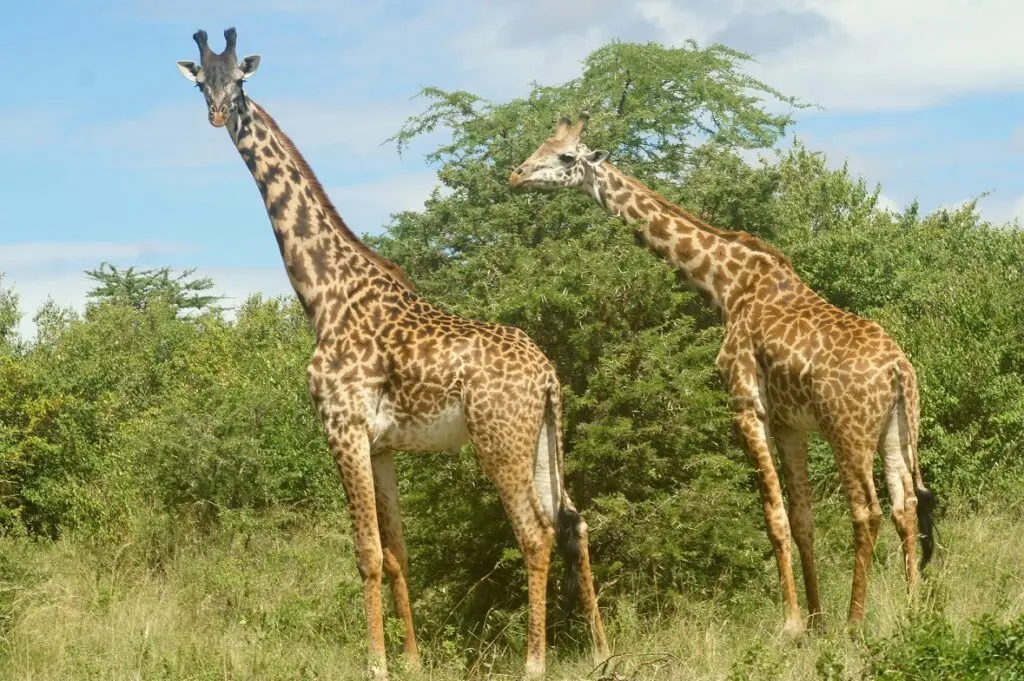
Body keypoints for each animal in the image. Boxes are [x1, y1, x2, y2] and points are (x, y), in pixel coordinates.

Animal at [176, 30, 609, 679]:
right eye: (203, 80)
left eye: (241, 80)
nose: (218, 113)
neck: (323, 293)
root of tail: (550, 375)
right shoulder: (382, 446)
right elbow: (399, 550)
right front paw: (411, 658)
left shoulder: (342, 426)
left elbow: (366, 553)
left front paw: (376, 663)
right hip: (540, 437)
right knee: (573, 521)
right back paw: (604, 651)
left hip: (499, 439)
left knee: (536, 532)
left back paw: (535, 661)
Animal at [508, 113, 937, 636]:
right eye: (539, 146)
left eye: (565, 156)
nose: (516, 176)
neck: (726, 285)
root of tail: (899, 370)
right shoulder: (788, 423)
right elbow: (802, 518)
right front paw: (816, 621)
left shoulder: (745, 406)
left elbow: (773, 517)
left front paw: (792, 625)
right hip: (896, 430)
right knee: (904, 506)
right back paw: (914, 609)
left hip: (847, 432)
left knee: (866, 510)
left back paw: (855, 624)